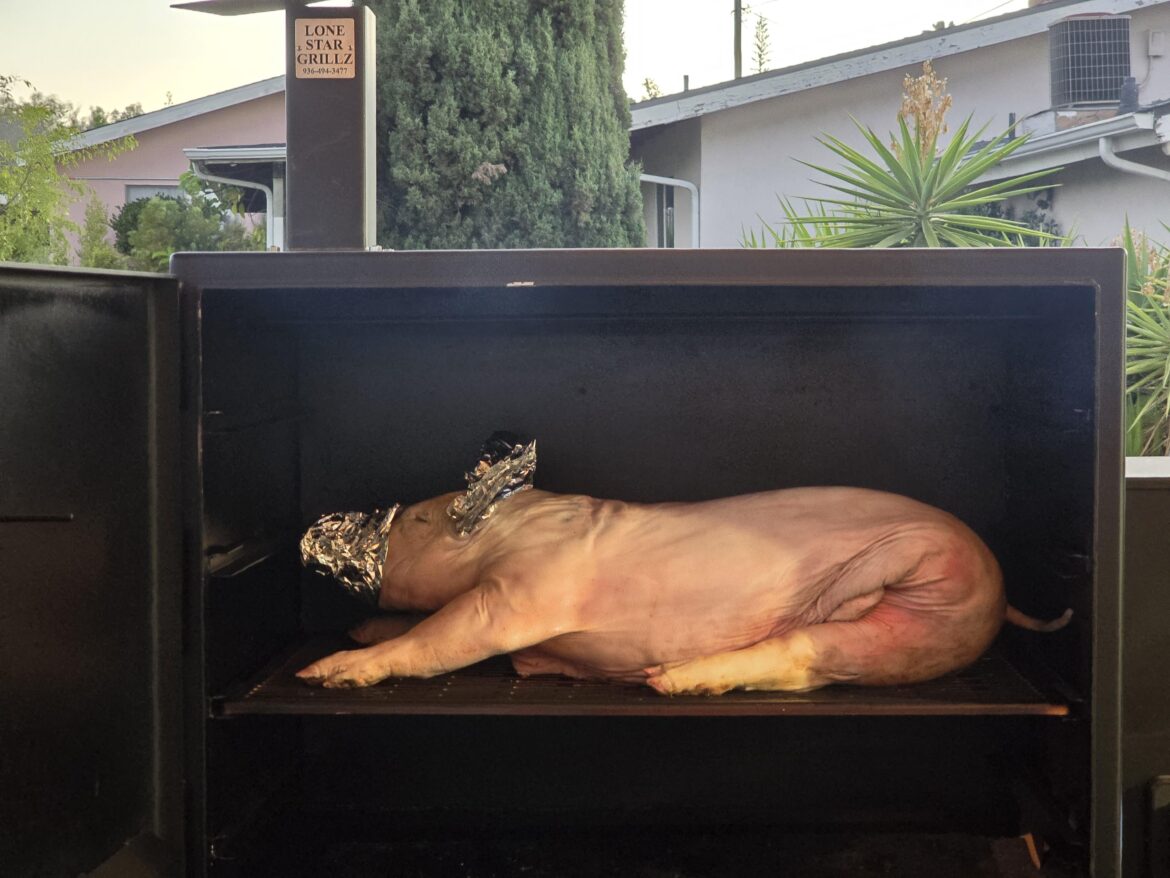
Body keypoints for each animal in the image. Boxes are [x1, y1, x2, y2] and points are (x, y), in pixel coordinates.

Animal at [296, 479, 1069, 695]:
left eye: (421, 518)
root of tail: (1001, 593)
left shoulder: (526, 590)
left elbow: (450, 633)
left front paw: (327, 669)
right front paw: (360, 629)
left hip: (928, 594)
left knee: (811, 656)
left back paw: (670, 681)